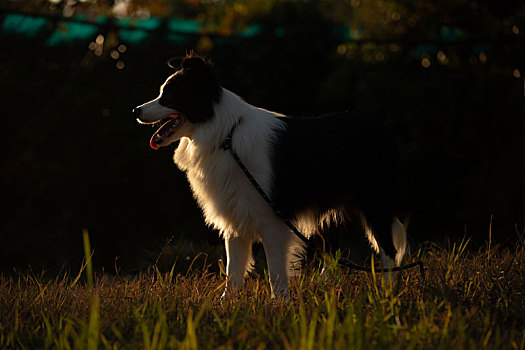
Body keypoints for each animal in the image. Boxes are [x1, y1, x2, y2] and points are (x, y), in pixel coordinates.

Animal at [133, 52, 408, 298]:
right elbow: (233, 270)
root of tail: (384, 130)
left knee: (388, 250)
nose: (135, 110)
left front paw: (279, 305)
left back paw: (387, 294)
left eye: (169, 96)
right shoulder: (235, 216)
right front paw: (226, 305)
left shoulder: (273, 219)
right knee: (334, 251)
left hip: (375, 203)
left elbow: (275, 272)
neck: (225, 136)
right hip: (332, 211)